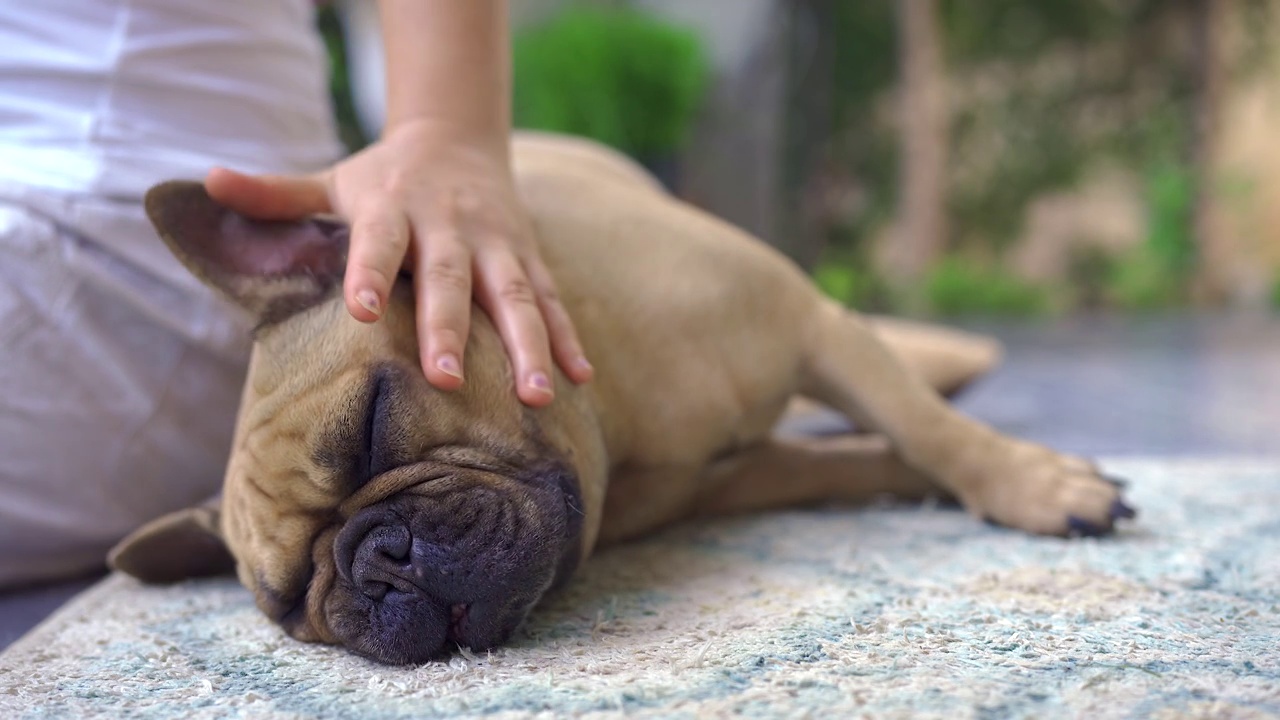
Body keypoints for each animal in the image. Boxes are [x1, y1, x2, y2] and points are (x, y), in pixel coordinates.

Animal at [107, 130, 1131, 661]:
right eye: (289, 606)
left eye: (370, 427)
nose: (380, 565)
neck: (615, 415)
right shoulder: (742, 474)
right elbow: (858, 459)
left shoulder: (816, 325)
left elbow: (926, 426)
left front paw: (1030, 483)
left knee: (923, 377)